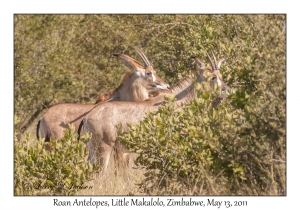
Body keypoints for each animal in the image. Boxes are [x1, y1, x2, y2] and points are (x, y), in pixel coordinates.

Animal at [81, 52, 229, 174]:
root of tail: (86, 118)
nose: (227, 90)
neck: (179, 100)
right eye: (213, 77)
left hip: (93, 151)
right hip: (103, 149)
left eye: (221, 76)